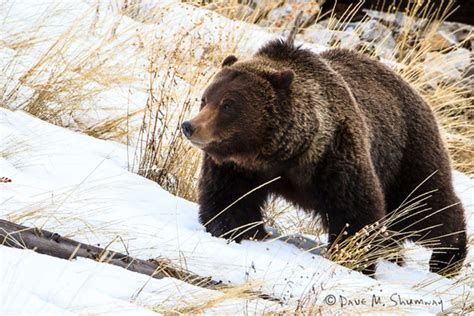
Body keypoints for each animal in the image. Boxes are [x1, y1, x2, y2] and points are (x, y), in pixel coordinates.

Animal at [181, 37, 466, 276]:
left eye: (228, 104)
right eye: (205, 99)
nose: (189, 126)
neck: (282, 153)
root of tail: (419, 94)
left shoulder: (336, 155)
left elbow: (356, 210)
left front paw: (355, 259)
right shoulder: (240, 167)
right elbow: (229, 198)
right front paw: (234, 229)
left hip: (408, 153)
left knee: (425, 206)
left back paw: (448, 258)